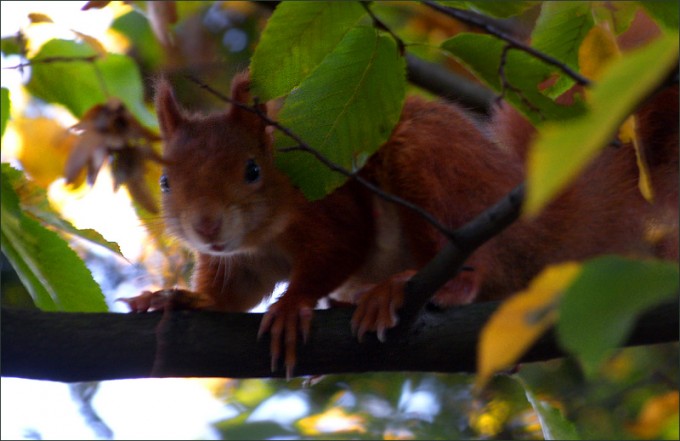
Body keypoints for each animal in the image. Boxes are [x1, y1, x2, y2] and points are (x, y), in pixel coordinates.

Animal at [122, 68, 678, 377]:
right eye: (165, 180)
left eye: (252, 170)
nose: (206, 227)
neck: (260, 234)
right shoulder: (237, 261)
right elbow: (230, 297)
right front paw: (176, 297)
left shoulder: (332, 209)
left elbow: (341, 247)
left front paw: (294, 304)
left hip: (437, 180)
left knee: (473, 266)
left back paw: (415, 288)